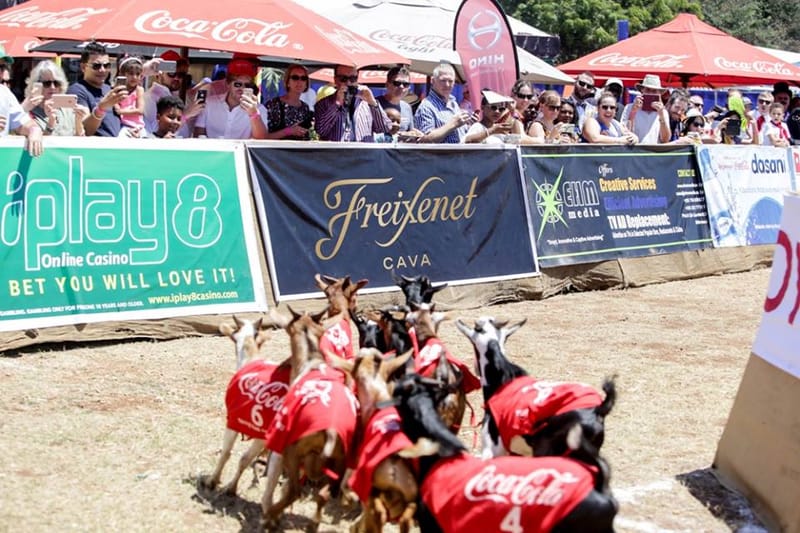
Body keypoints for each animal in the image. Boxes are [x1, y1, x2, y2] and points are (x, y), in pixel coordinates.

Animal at [261, 306, 359, 532]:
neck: (311, 361)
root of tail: (331, 428)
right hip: (338, 462)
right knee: (323, 494)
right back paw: (312, 523)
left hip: (293, 452)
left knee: (294, 491)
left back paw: (270, 516)